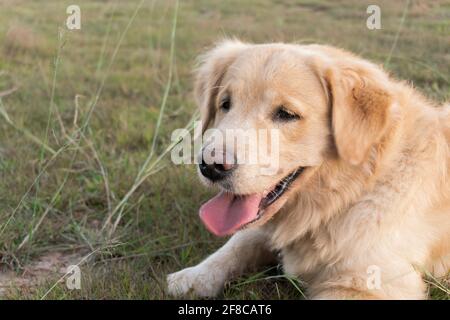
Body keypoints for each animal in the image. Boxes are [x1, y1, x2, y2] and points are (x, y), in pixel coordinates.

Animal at [166, 40, 450, 300]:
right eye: (225, 104)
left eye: (286, 114)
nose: (210, 166)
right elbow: (239, 241)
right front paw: (194, 276)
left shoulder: (371, 283)